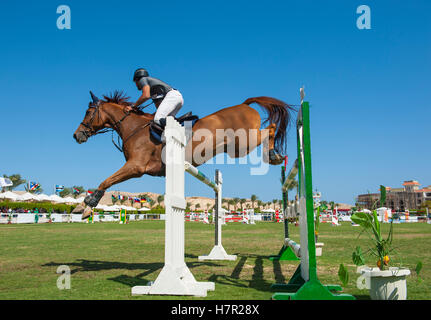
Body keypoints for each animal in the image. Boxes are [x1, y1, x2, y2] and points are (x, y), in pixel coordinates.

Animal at [74, 90, 296, 215]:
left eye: (88, 112)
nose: (77, 135)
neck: (133, 127)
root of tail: (245, 104)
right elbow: (108, 180)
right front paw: (85, 206)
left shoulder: (135, 167)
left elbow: (107, 181)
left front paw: (86, 205)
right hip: (237, 148)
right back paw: (275, 155)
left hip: (243, 144)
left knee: (270, 128)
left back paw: (274, 155)